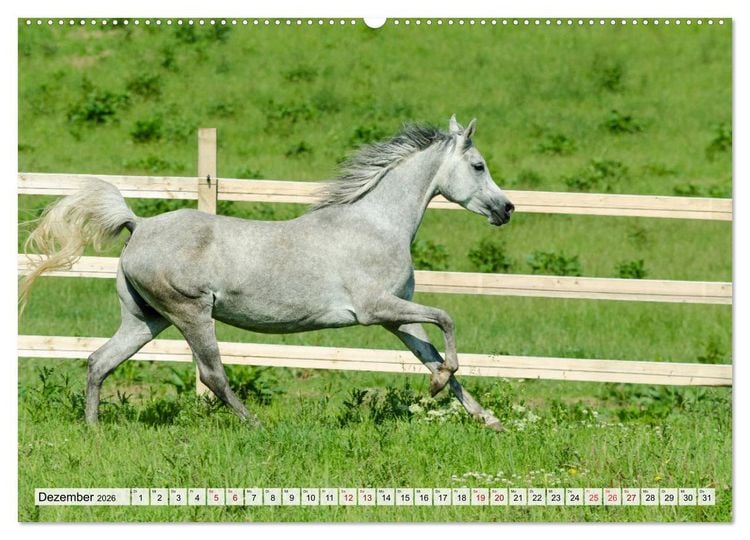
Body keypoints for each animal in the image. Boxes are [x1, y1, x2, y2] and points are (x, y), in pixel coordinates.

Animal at [20, 115, 515, 431]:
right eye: (479, 166)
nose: (506, 209)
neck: (375, 223)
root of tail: (138, 225)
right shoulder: (377, 309)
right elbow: (447, 320)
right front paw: (440, 385)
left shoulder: (398, 316)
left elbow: (432, 353)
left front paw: (486, 418)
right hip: (191, 313)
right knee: (212, 375)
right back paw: (256, 426)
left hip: (146, 319)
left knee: (99, 361)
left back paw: (94, 430)